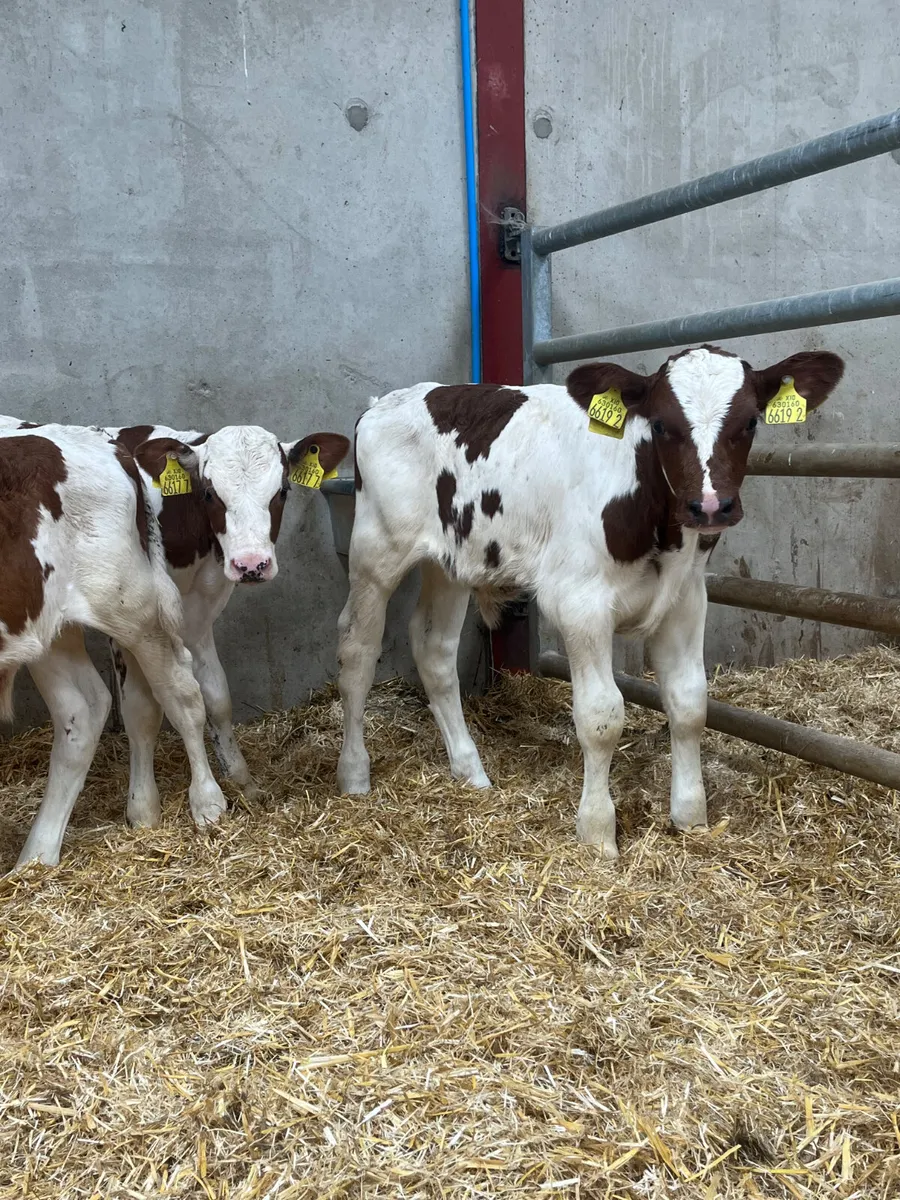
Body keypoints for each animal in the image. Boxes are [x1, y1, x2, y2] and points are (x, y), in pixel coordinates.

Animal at [0, 424, 226, 867]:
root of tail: (107, 443)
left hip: (131, 607)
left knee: (180, 692)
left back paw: (207, 803)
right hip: (48, 625)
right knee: (83, 708)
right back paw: (34, 863)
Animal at [103, 423, 350, 827]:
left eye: (282, 490)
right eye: (209, 493)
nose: (251, 565)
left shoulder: (199, 613)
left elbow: (216, 697)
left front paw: (242, 781)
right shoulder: (128, 624)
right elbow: (142, 711)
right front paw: (145, 808)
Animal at [335, 345, 844, 858]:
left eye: (750, 422)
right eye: (661, 424)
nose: (710, 505)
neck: (658, 526)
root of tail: (385, 402)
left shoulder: (685, 600)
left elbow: (690, 705)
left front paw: (691, 818)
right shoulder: (580, 603)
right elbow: (602, 717)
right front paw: (598, 832)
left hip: (452, 561)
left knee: (434, 649)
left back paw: (470, 771)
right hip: (375, 553)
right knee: (357, 653)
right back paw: (354, 775)